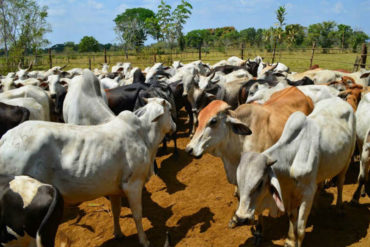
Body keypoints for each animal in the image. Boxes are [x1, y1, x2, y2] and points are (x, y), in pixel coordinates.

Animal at [0, 97, 176, 247]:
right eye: (170, 110)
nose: (174, 126)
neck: (144, 136)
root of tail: (6, 138)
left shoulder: (114, 189)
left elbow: (116, 211)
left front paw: (118, 233)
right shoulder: (133, 185)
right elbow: (137, 215)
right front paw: (144, 241)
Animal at [234, 98, 356, 247]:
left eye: (260, 183)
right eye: (238, 182)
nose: (241, 218)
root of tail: (340, 100)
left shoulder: (307, 194)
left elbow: (301, 228)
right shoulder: (290, 194)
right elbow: (292, 218)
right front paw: (291, 240)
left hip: (347, 160)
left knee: (340, 183)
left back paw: (339, 208)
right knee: (320, 185)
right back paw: (315, 209)